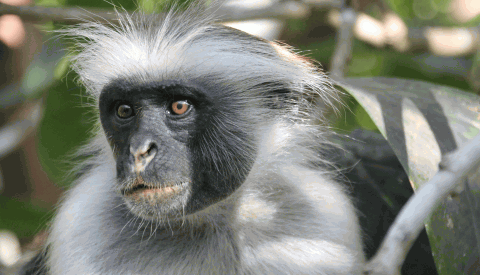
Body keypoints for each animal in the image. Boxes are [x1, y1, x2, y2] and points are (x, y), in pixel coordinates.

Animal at [21, 2, 364, 275]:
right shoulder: (83, 226)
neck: (216, 220)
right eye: (124, 111)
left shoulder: (322, 220)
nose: (139, 150)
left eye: (179, 106)